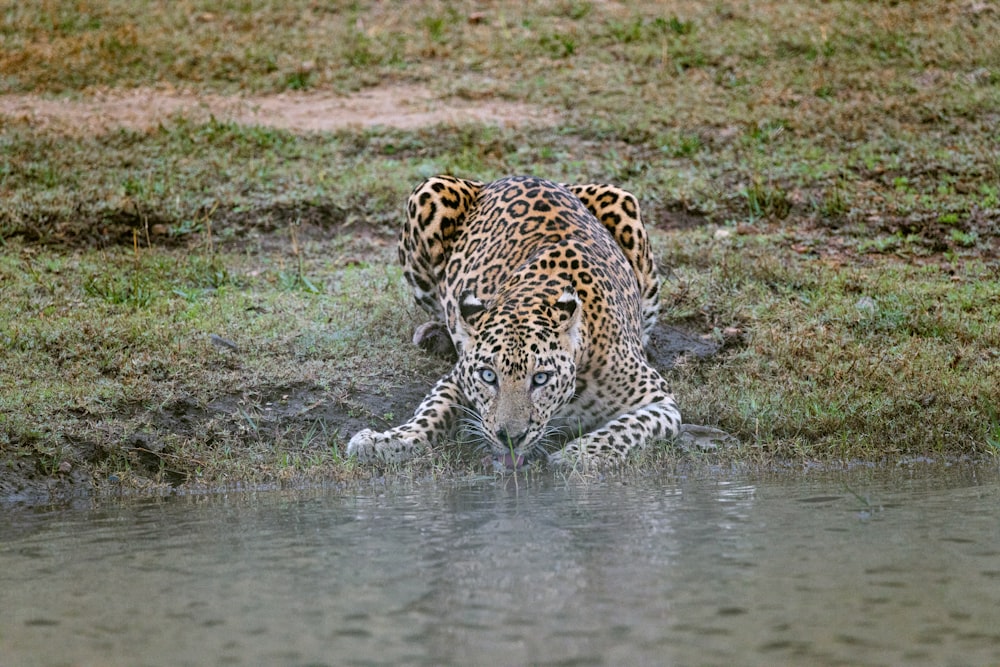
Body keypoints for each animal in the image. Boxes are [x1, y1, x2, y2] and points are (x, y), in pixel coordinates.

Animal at [348, 175, 684, 468]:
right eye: (488, 376)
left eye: (541, 378)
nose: (510, 438)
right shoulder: (456, 377)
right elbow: (430, 412)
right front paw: (385, 441)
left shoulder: (661, 402)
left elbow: (627, 429)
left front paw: (577, 455)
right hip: (428, 193)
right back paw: (436, 334)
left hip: (624, 205)